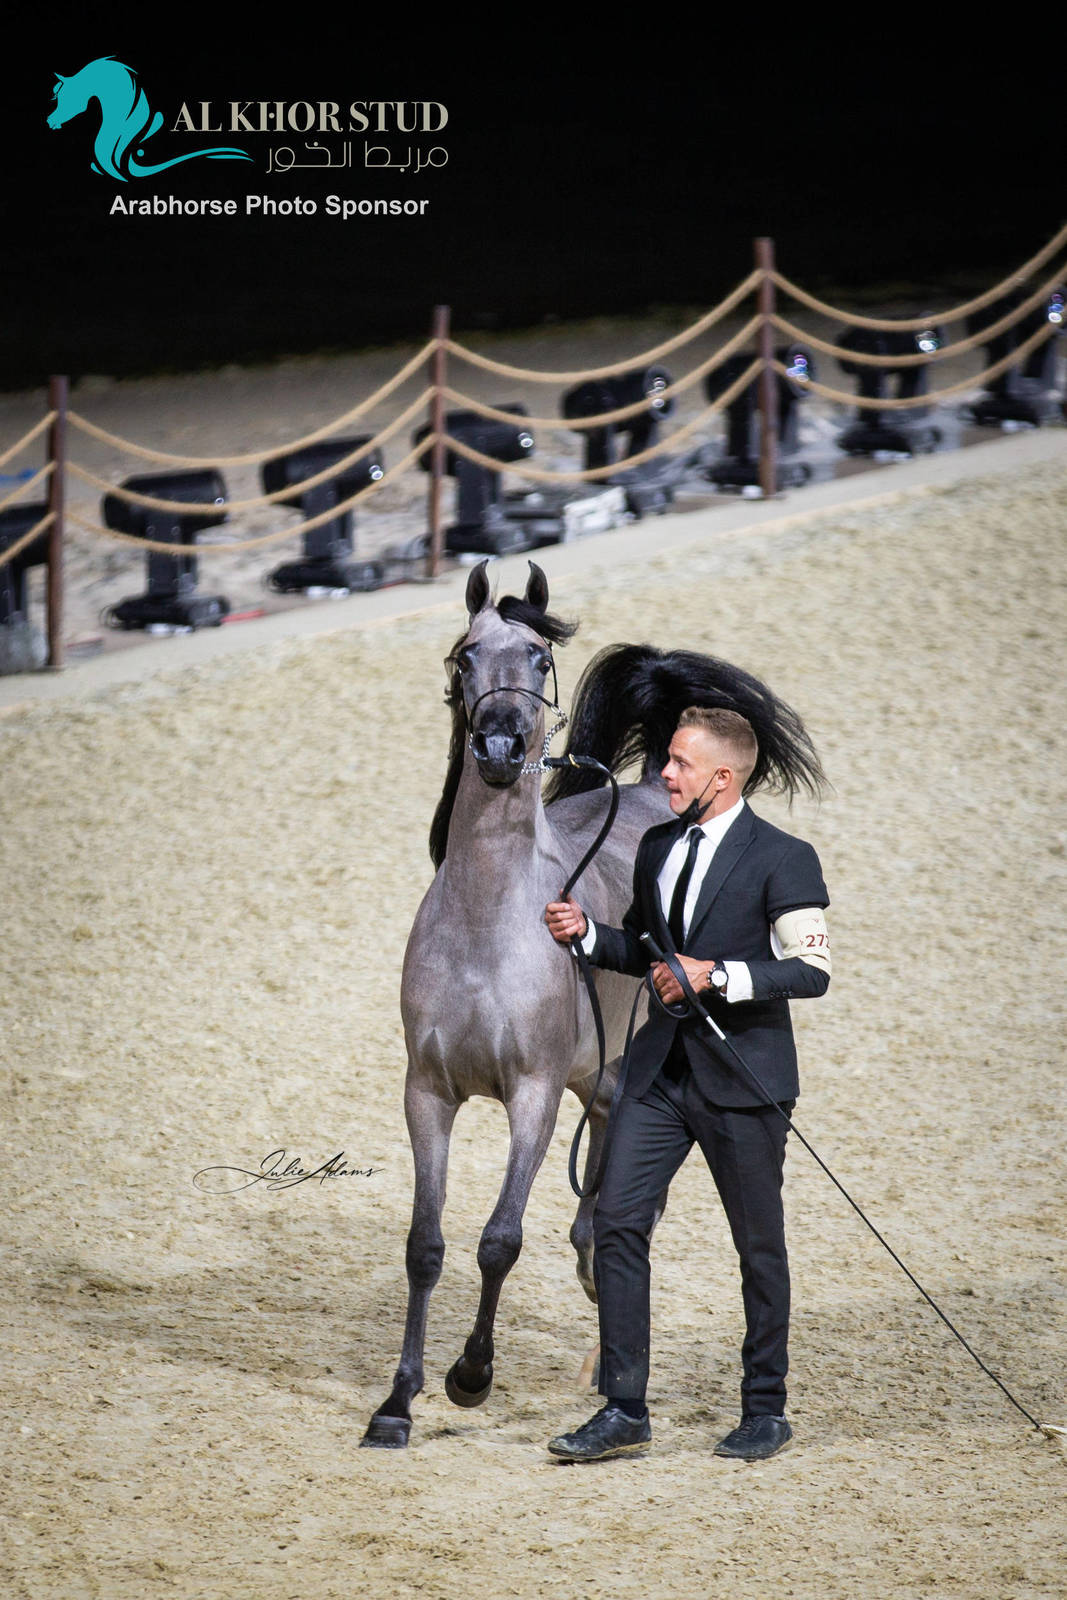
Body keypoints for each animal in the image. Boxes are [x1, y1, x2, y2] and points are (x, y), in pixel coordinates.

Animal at [361, 559, 824, 1448]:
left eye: (539, 658)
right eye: (465, 655)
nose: (499, 745)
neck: (486, 926)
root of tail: (654, 793)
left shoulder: (532, 1096)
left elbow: (498, 1240)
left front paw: (470, 1378)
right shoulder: (426, 1093)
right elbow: (425, 1245)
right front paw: (396, 1405)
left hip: (610, 1077)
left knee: (618, 1209)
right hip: (605, 1086)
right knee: (600, 1207)